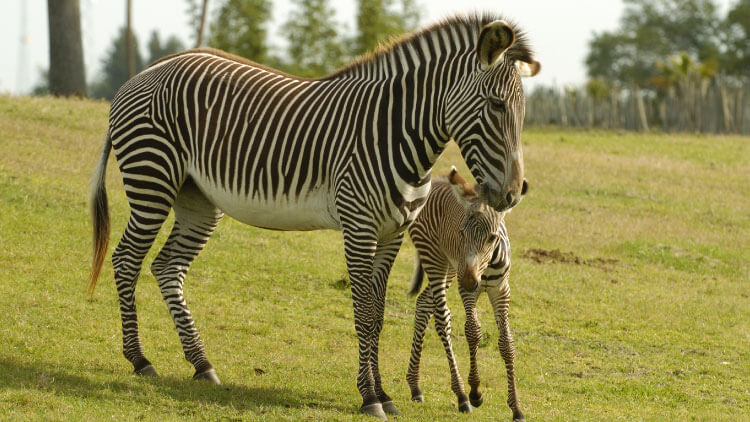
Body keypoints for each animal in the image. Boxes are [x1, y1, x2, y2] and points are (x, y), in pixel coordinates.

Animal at [406, 168, 524, 420]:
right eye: (461, 232)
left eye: (491, 237)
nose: (470, 280)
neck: (487, 266)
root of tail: (436, 179)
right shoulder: (467, 289)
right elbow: (473, 331)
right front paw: (475, 391)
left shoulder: (502, 289)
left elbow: (506, 342)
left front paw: (516, 407)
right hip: (436, 260)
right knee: (441, 318)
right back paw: (461, 395)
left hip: (451, 269)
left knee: (424, 303)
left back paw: (415, 386)